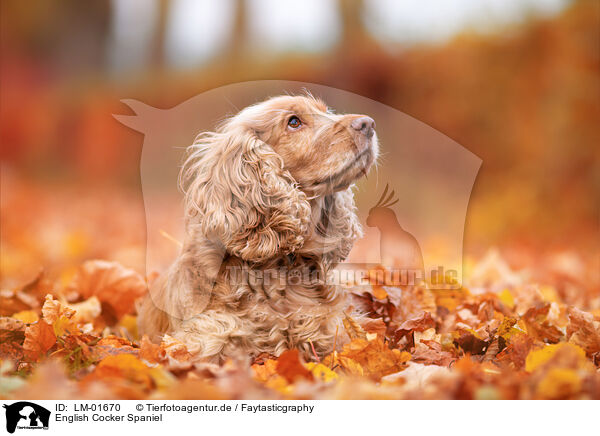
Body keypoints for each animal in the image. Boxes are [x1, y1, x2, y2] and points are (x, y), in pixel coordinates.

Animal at [138, 93, 378, 362]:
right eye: (293, 122)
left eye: (325, 111)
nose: (368, 124)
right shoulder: (206, 337)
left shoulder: (330, 328)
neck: (278, 268)